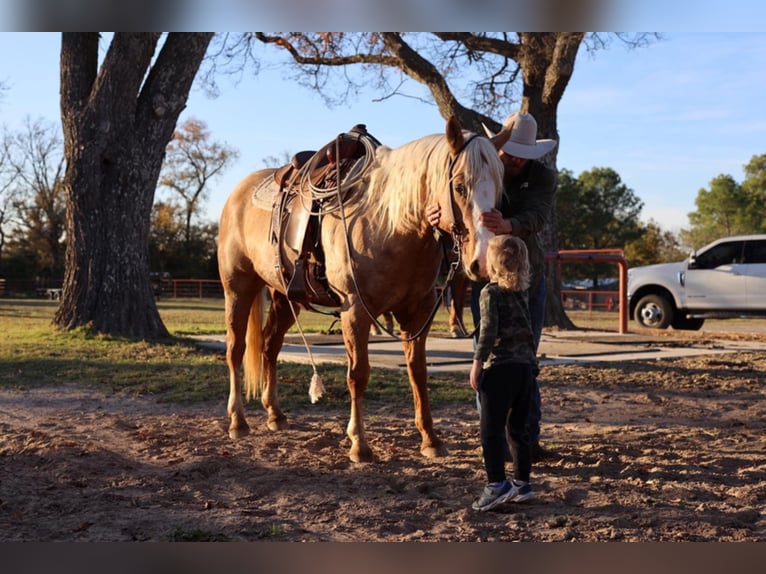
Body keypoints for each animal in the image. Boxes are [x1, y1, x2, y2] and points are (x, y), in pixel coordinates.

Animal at [218, 117, 510, 464]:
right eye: (460, 186)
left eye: (499, 186)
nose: (483, 260)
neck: (389, 223)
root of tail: (238, 192)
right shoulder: (355, 310)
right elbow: (358, 374)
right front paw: (359, 443)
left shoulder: (417, 312)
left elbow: (418, 372)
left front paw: (430, 439)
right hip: (238, 288)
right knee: (235, 349)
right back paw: (237, 421)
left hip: (285, 298)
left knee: (269, 346)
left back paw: (275, 414)